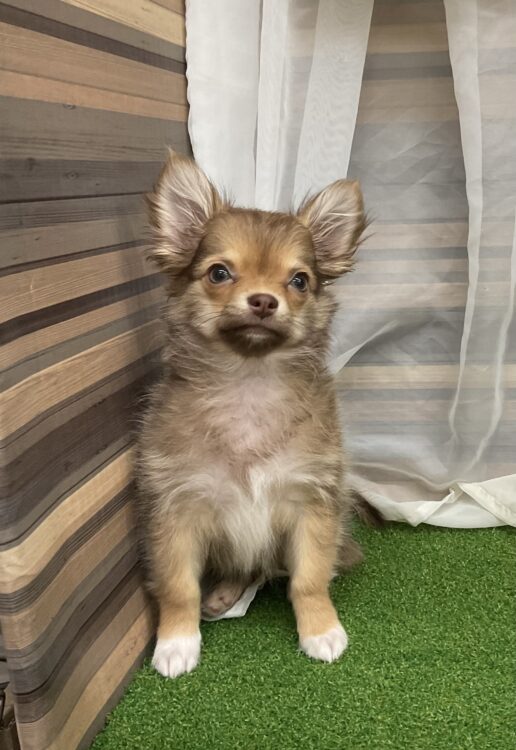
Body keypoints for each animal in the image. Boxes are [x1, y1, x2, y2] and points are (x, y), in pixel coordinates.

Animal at [136, 150, 368, 678]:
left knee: (264, 568)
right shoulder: (175, 511)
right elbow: (178, 587)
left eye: (299, 280)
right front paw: (176, 642)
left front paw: (321, 630)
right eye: (219, 273)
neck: (249, 383)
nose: (264, 300)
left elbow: (308, 579)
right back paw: (221, 593)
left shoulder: (312, 503)